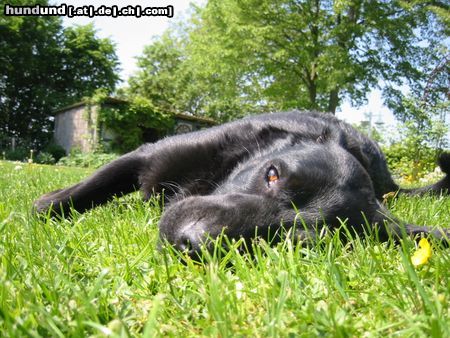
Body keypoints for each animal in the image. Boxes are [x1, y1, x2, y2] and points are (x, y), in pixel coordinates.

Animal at [36, 111, 450, 256]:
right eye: (272, 173)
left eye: (293, 241)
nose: (190, 242)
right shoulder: (147, 154)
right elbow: (82, 191)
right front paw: (44, 208)